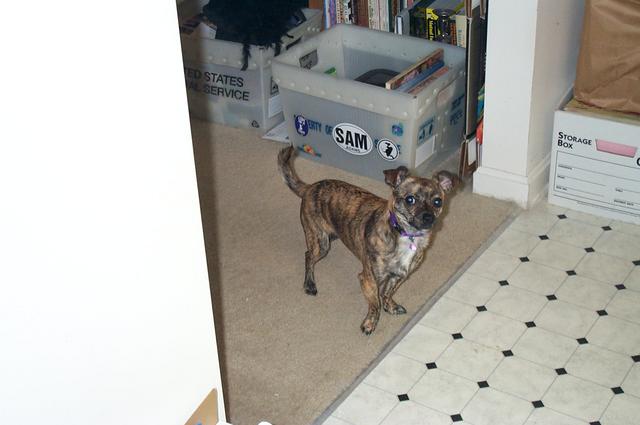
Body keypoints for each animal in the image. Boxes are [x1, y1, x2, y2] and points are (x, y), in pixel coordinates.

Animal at [278, 146, 459, 334]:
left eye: (437, 202)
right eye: (410, 199)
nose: (428, 217)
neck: (405, 235)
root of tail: (310, 187)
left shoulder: (399, 276)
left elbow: (387, 294)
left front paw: (390, 306)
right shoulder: (368, 279)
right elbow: (375, 304)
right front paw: (370, 323)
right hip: (321, 243)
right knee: (308, 256)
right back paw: (310, 284)